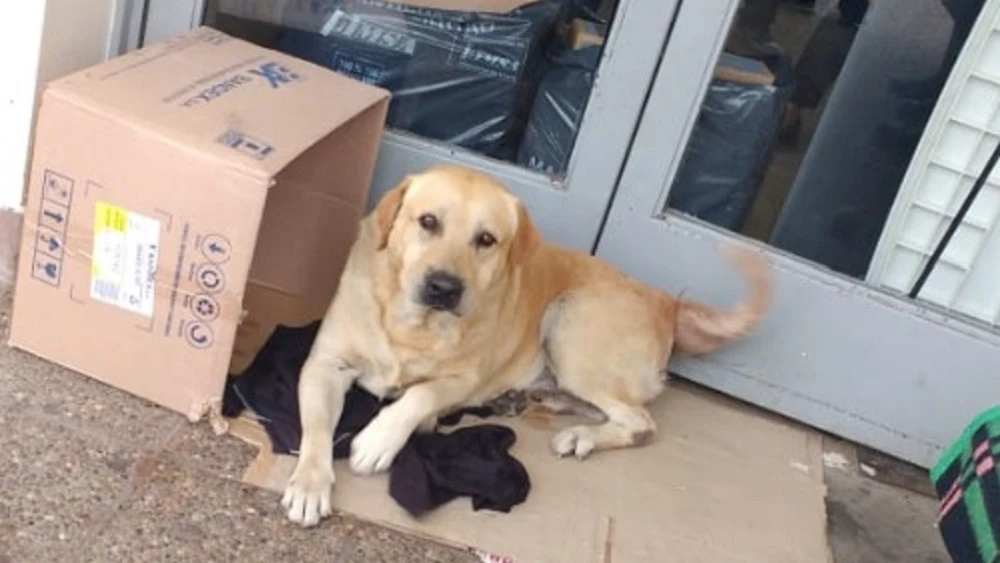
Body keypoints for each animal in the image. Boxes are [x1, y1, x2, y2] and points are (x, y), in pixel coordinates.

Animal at [286, 165, 768, 528]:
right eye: (427, 222)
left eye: (486, 239)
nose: (444, 287)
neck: (412, 325)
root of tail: (665, 300)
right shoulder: (323, 364)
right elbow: (316, 428)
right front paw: (310, 483)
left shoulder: (463, 378)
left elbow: (420, 394)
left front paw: (379, 439)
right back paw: (533, 403)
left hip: (568, 321)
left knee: (641, 421)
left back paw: (581, 436)